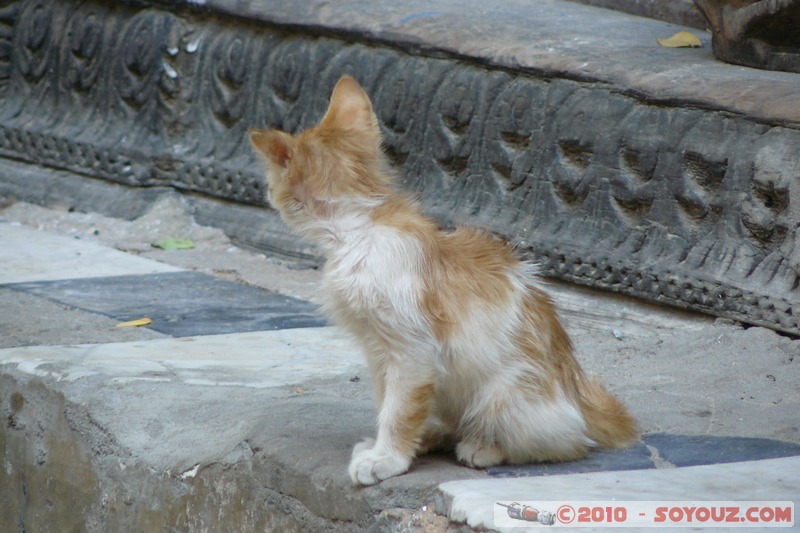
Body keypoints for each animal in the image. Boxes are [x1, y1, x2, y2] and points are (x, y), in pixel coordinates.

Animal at [250, 76, 636, 486]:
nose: (267, 193)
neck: (360, 228)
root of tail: (575, 390)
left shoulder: (413, 350)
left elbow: (399, 409)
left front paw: (387, 458)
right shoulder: (378, 350)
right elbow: (387, 400)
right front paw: (389, 447)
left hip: (504, 395)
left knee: (564, 441)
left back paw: (485, 446)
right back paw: (434, 434)